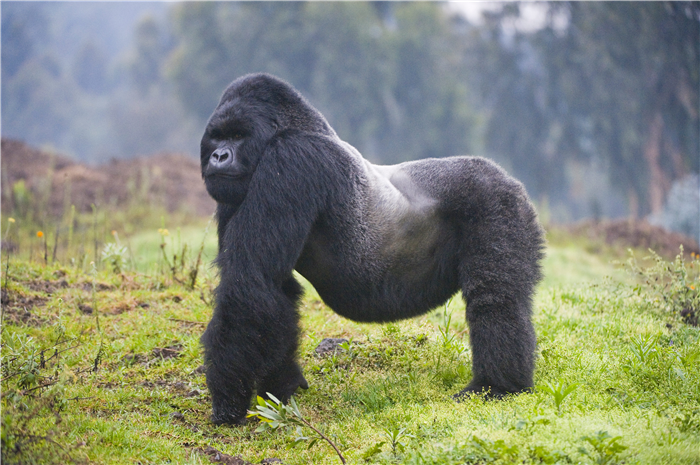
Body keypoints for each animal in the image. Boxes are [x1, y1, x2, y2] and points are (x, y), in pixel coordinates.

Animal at [200, 72, 544, 424]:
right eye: (217, 137)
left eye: (238, 136)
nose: (219, 156)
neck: (291, 129)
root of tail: (505, 176)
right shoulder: (234, 193)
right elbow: (275, 292)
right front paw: (281, 386)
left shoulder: (291, 160)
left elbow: (250, 286)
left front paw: (227, 405)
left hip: (497, 202)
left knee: (495, 299)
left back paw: (497, 386)